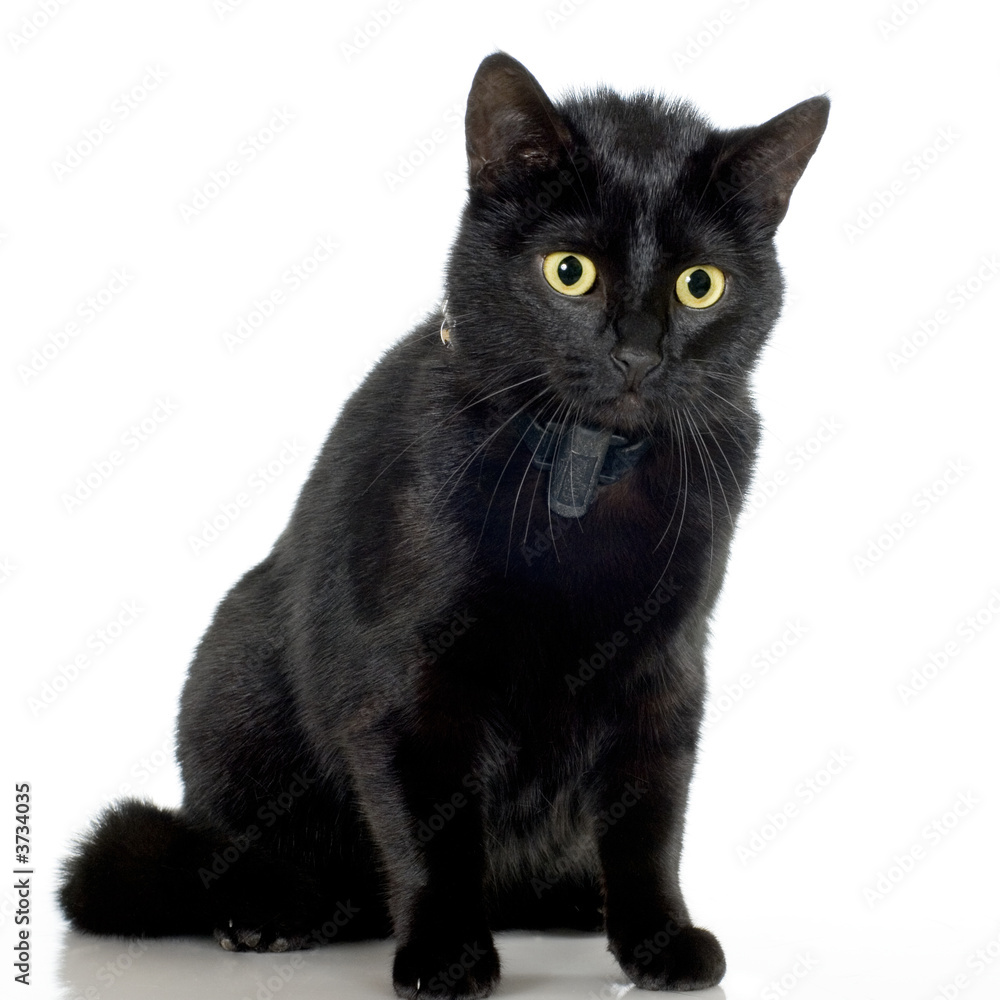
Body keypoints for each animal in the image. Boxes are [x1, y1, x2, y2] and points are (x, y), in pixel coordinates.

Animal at [62, 52, 828, 992]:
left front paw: (658, 940)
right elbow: (432, 831)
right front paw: (446, 955)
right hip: (234, 675)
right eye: (568, 271)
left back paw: (576, 900)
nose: (638, 353)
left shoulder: (665, 669)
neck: (582, 470)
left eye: (700, 285)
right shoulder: (407, 681)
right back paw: (276, 914)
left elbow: (652, 820)